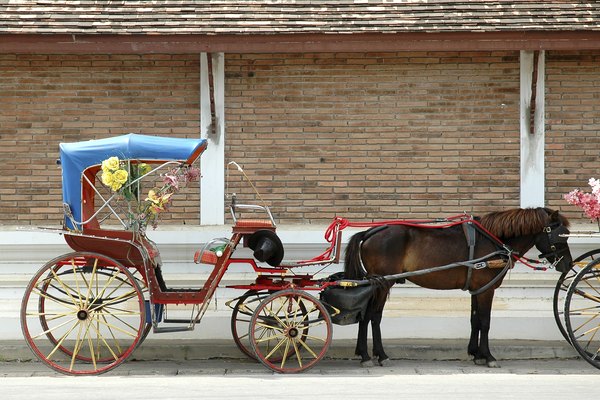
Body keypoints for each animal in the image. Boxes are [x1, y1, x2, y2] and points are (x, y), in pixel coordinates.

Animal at [342, 209, 572, 368]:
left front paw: (476, 354)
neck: (494, 240)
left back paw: (365, 354)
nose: (568, 264)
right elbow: (485, 322)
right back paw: (376, 355)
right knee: (372, 316)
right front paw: (488, 356)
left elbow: (475, 320)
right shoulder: (487, 290)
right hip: (382, 283)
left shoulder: (478, 289)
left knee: (366, 316)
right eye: (562, 234)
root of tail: (370, 232)